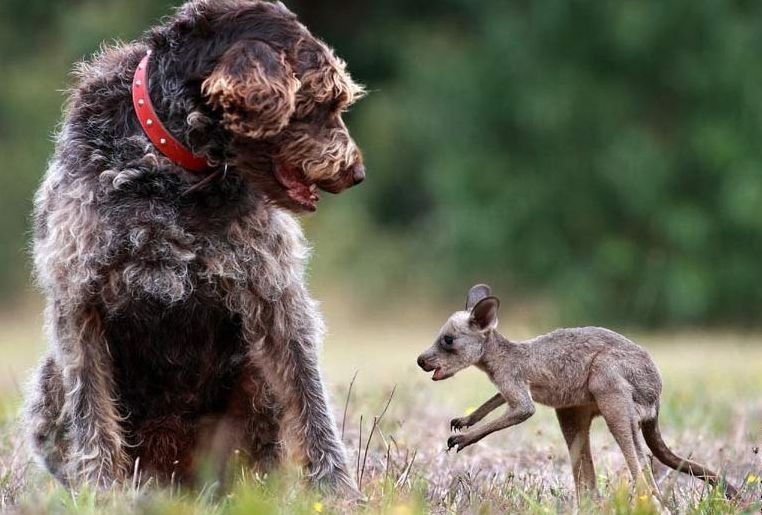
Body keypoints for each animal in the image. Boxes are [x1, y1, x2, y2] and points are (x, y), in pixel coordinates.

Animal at [23, 0, 366, 498]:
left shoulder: (275, 296)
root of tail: (176, 481)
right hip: (51, 380)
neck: (170, 166)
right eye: (322, 102)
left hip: (253, 376)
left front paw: (337, 493)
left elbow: (309, 398)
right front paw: (101, 493)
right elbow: (91, 410)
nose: (357, 172)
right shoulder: (80, 300)